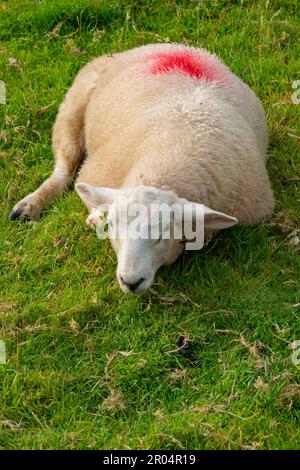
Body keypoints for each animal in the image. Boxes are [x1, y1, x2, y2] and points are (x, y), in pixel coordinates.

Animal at [8, 44, 274, 294]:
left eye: (161, 236)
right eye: (113, 228)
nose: (130, 282)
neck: (164, 168)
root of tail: (173, 46)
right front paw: (96, 216)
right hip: (74, 104)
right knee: (64, 165)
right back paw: (28, 205)